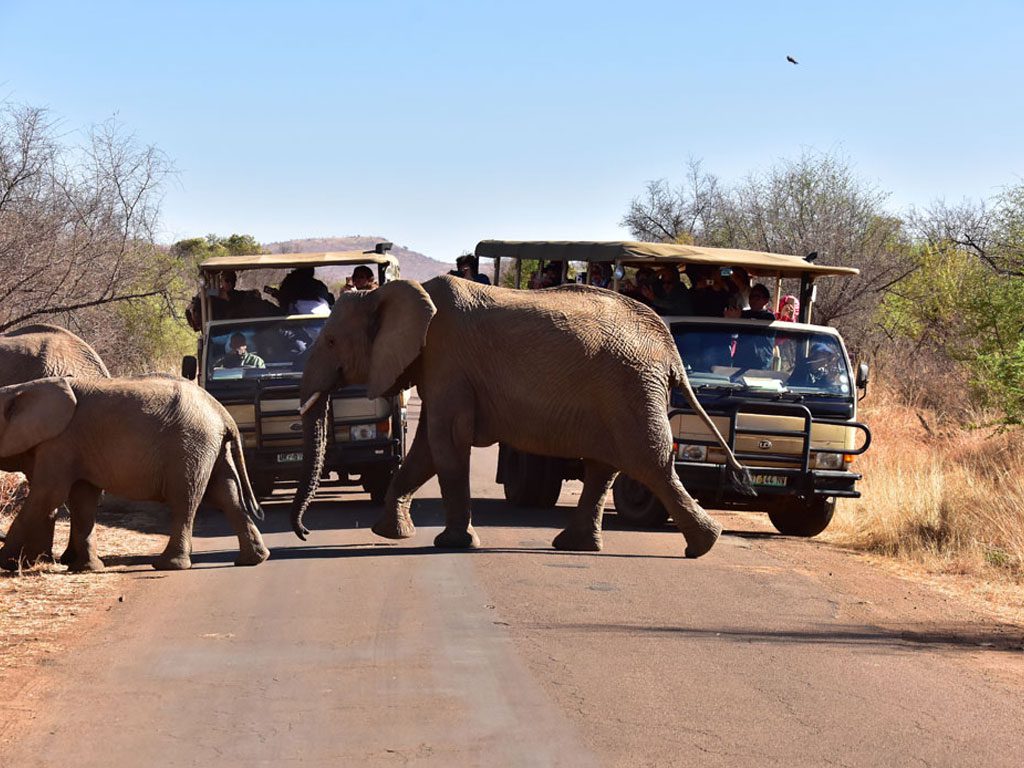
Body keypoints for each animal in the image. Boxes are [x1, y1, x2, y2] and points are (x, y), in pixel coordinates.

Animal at [0, 376, 269, 571]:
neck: (22, 389)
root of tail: (222, 411)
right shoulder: (75, 445)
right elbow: (82, 499)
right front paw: (86, 569)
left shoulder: (60, 441)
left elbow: (48, 495)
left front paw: (3, 563)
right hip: (213, 447)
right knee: (227, 495)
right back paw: (254, 559)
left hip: (190, 445)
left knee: (185, 499)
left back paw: (169, 565)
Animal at [290, 275, 753, 559]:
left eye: (329, 341)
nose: (305, 532)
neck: (389, 293)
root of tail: (670, 348)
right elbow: (425, 450)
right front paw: (388, 534)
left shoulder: (448, 361)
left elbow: (445, 443)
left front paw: (451, 543)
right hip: (619, 394)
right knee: (606, 466)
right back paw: (576, 546)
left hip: (630, 389)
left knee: (648, 463)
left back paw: (702, 546)